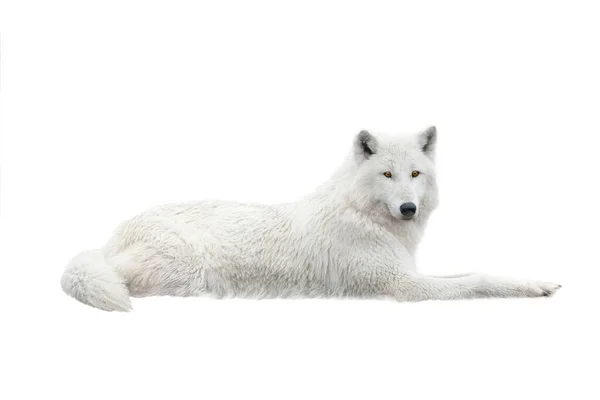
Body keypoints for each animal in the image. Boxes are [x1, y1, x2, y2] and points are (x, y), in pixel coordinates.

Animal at [62, 126, 564, 310]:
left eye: (415, 174)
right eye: (387, 174)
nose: (408, 208)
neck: (366, 217)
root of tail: (113, 235)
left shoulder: (411, 273)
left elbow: (477, 270)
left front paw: (535, 282)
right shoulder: (405, 287)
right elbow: (478, 280)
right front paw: (530, 289)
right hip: (186, 270)